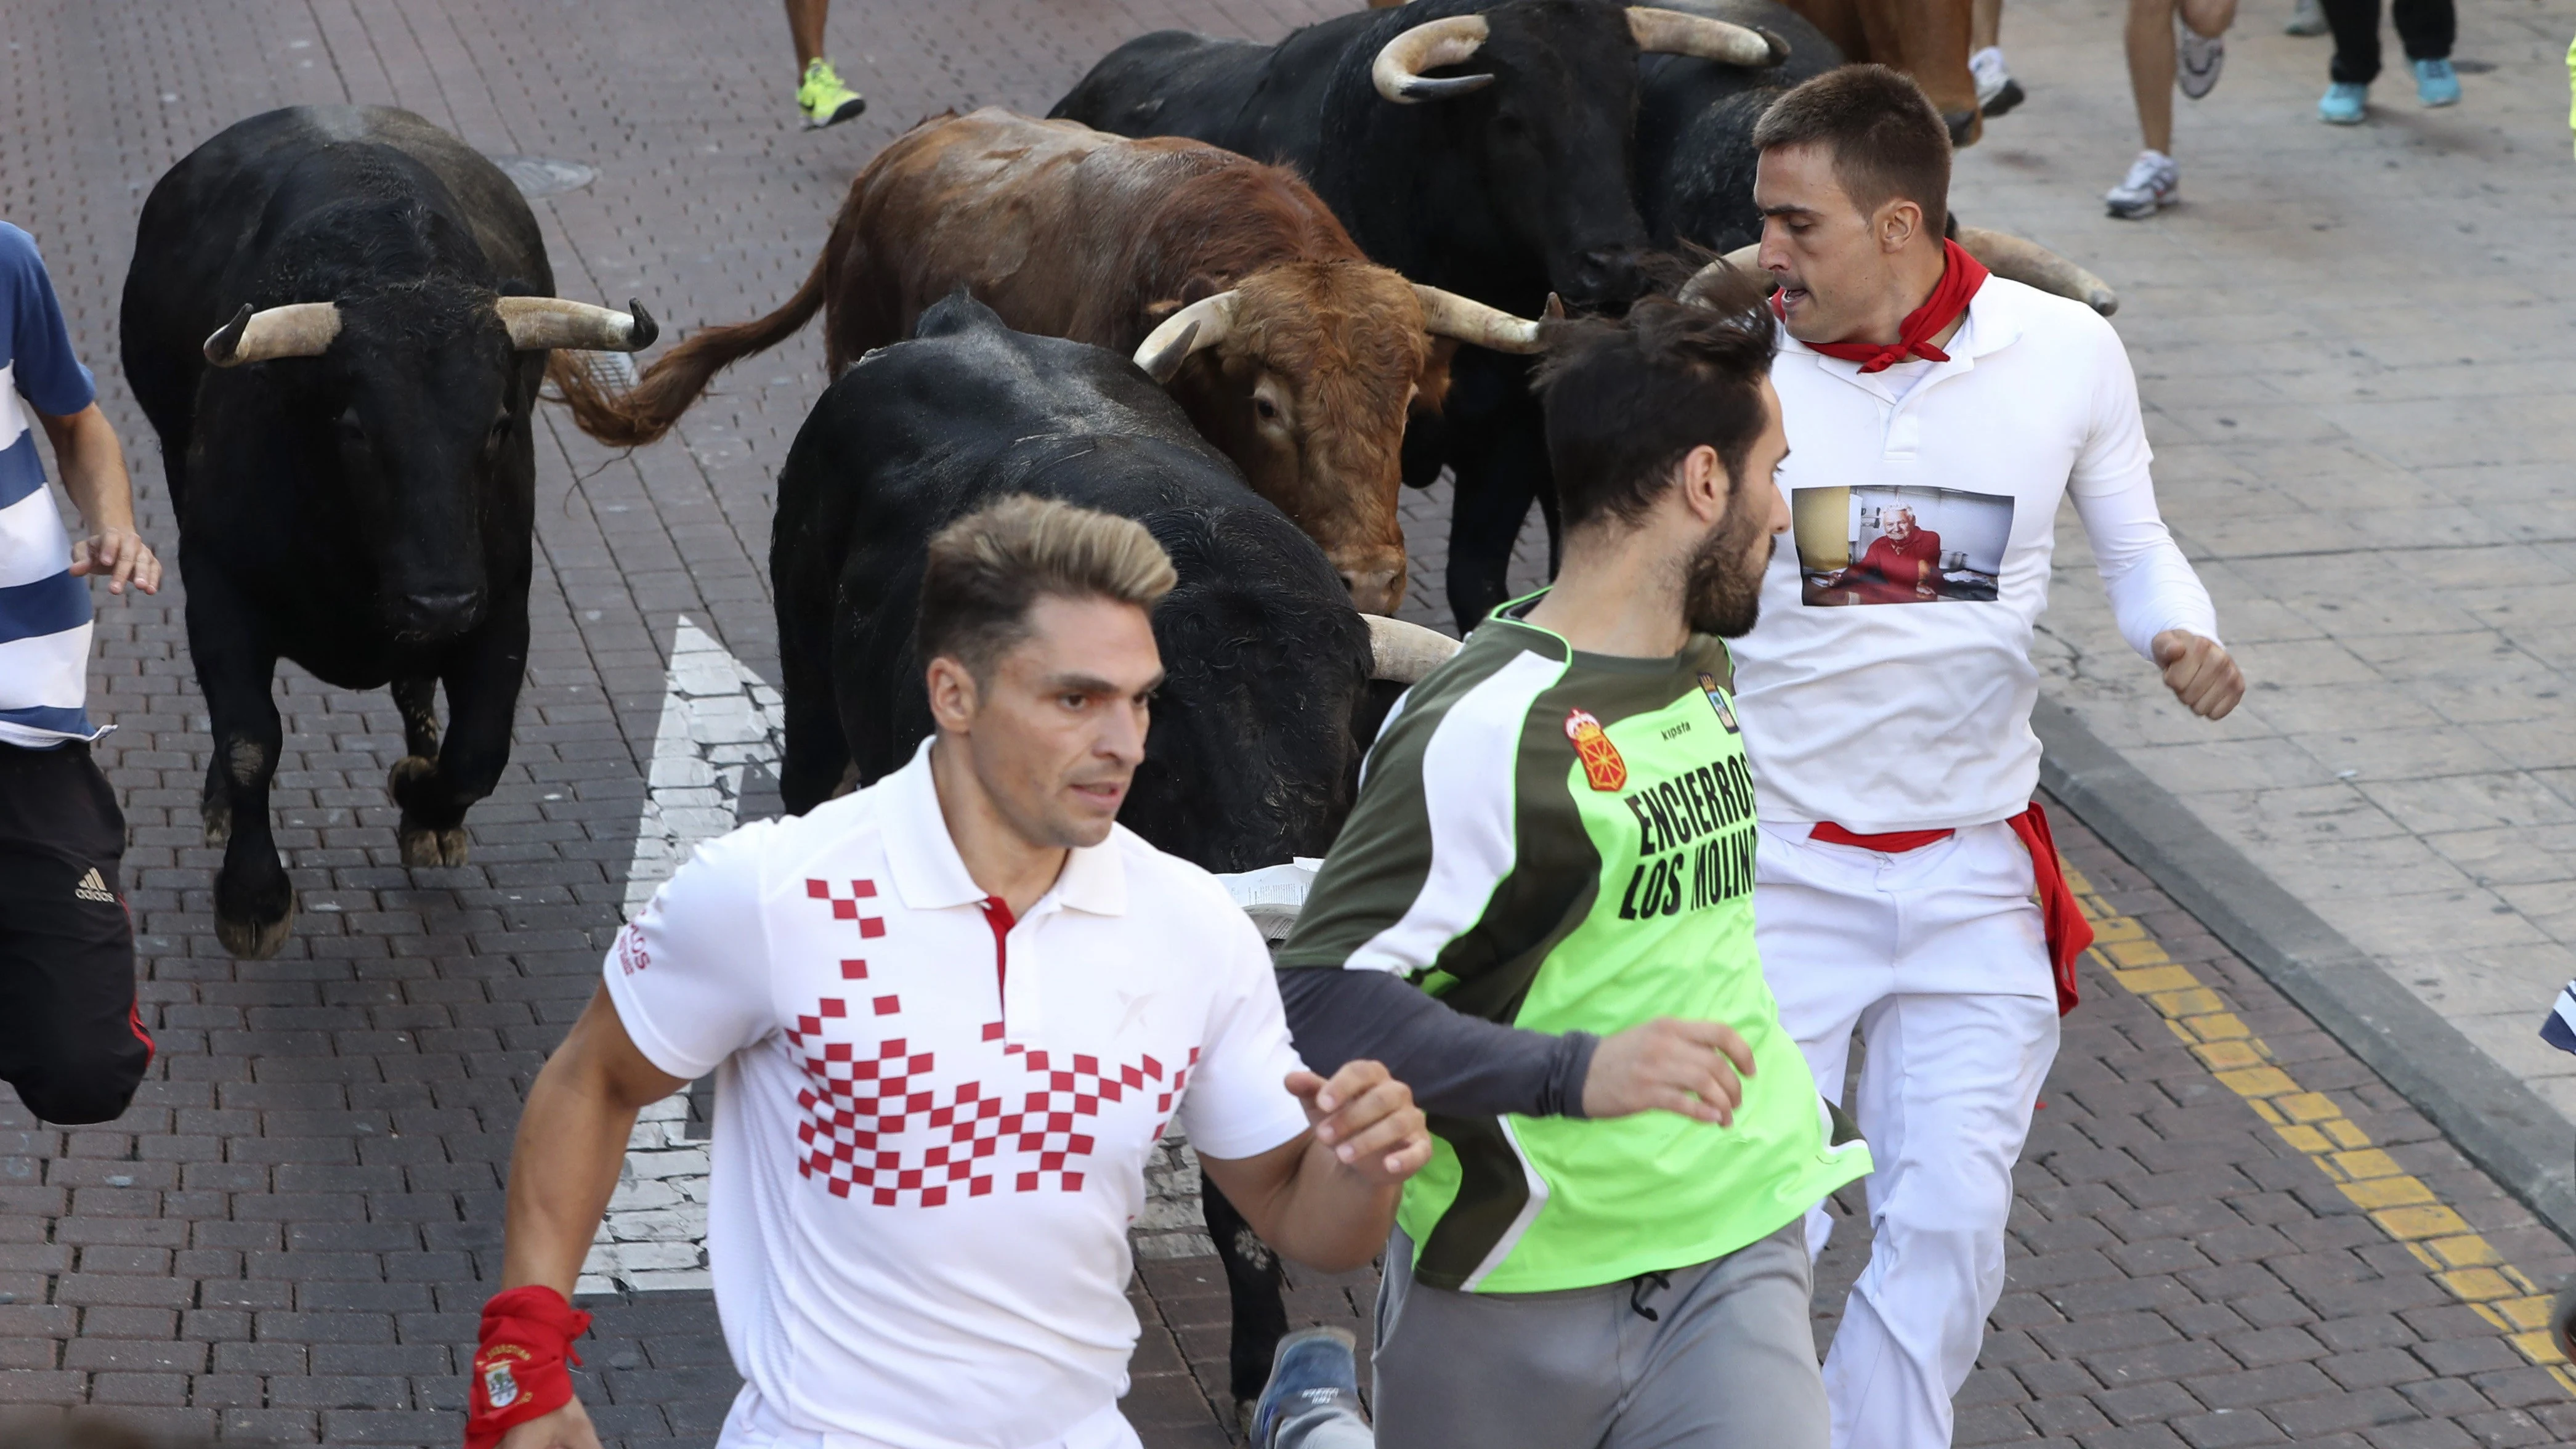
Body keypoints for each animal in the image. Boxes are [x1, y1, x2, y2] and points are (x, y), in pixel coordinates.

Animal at [119, 104, 649, 959]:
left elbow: (479, 750)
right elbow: (249, 740)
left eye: (499, 423)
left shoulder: (503, 600)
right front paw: (252, 896)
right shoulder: (217, 587)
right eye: (356, 429)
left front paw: (421, 797)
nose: (440, 602)